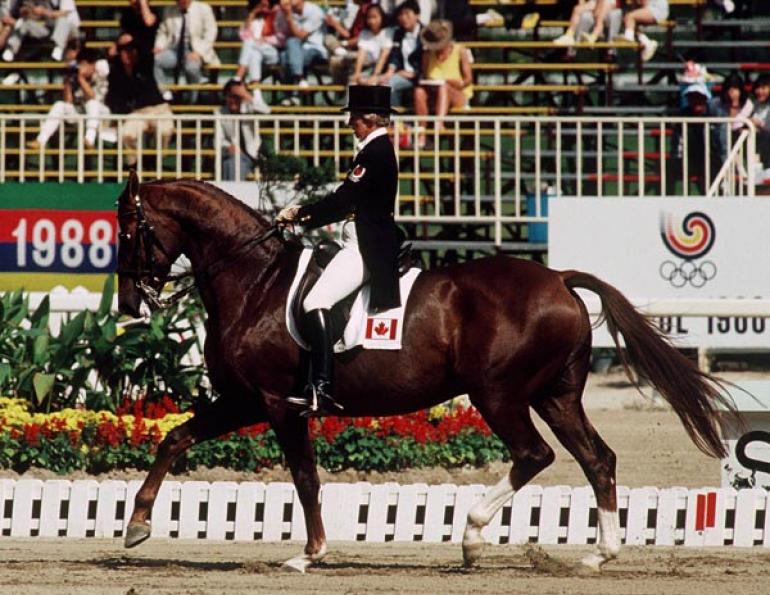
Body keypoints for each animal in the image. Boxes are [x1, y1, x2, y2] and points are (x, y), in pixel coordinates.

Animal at [116, 171, 734, 573]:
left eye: (127, 229)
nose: (129, 303)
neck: (255, 282)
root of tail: (558, 277)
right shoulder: (243, 400)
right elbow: (175, 438)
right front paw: (137, 525)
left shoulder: (275, 404)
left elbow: (305, 477)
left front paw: (309, 554)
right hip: (556, 396)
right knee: (596, 458)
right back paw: (598, 555)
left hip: (498, 394)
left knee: (534, 454)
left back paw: (472, 538)